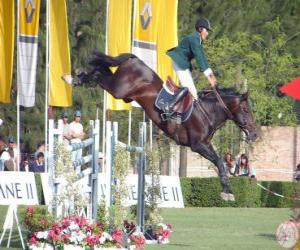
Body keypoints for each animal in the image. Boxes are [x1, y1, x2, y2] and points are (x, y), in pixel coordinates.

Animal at [77, 51, 258, 201]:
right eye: (245, 110)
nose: (255, 134)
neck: (207, 110)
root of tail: (134, 59)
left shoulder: (205, 144)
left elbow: (220, 162)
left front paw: (228, 190)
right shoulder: (198, 145)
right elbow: (220, 162)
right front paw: (227, 192)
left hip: (123, 94)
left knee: (102, 69)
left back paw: (80, 74)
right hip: (118, 90)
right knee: (99, 74)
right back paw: (78, 76)